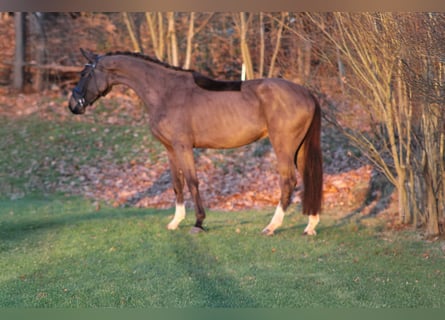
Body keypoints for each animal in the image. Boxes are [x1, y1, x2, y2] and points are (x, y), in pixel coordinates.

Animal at [67, 48, 320, 236]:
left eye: (84, 74)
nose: (73, 105)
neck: (165, 92)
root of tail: (307, 93)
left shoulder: (184, 147)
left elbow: (192, 181)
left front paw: (198, 223)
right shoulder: (170, 149)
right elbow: (177, 183)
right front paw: (175, 221)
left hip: (283, 146)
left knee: (288, 181)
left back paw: (271, 226)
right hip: (299, 149)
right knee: (308, 178)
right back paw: (310, 225)